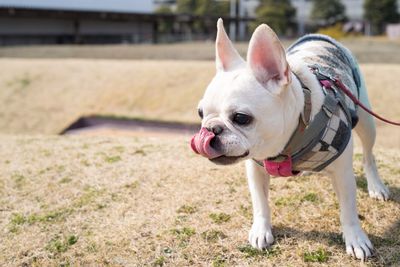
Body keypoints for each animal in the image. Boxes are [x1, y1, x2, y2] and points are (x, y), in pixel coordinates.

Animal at [191, 19, 390, 262]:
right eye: (201, 113)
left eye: (241, 118)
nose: (210, 129)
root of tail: (319, 36)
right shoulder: (255, 170)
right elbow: (260, 202)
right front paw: (261, 230)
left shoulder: (343, 174)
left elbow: (348, 209)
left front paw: (356, 239)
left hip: (366, 120)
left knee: (369, 156)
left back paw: (376, 186)